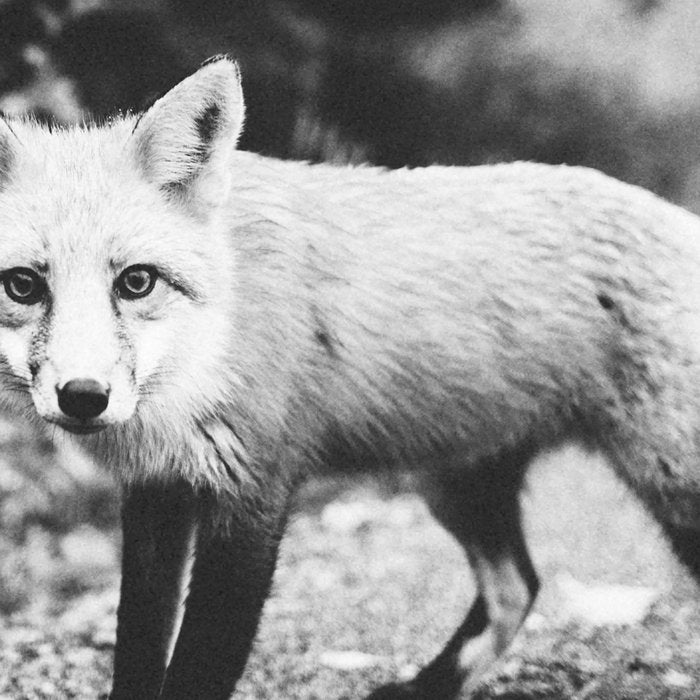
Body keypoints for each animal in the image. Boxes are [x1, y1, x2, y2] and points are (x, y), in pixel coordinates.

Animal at [2, 55, 700, 699]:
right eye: (23, 285)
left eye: (137, 281)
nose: (84, 397)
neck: (203, 355)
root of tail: (674, 215)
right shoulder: (158, 493)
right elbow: (139, 651)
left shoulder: (255, 490)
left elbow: (200, 664)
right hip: (453, 485)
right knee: (518, 588)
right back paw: (424, 688)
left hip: (671, 482)